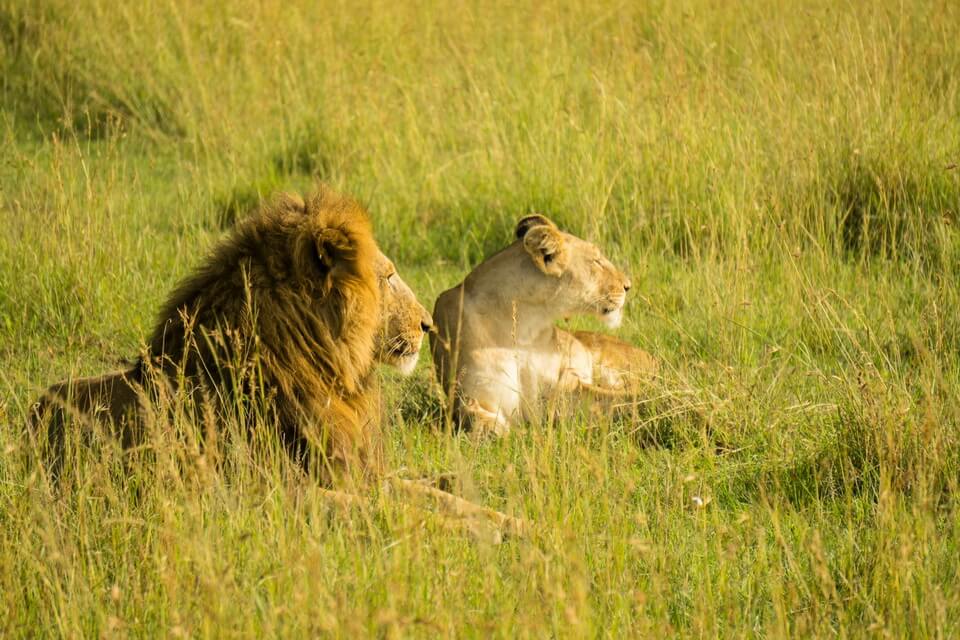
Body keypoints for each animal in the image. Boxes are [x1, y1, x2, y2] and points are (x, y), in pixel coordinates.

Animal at [432, 215, 656, 436]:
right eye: (596, 261)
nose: (628, 286)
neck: (523, 326)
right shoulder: (470, 397)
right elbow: (481, 424)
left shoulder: (563, 388)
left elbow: (625, 398)